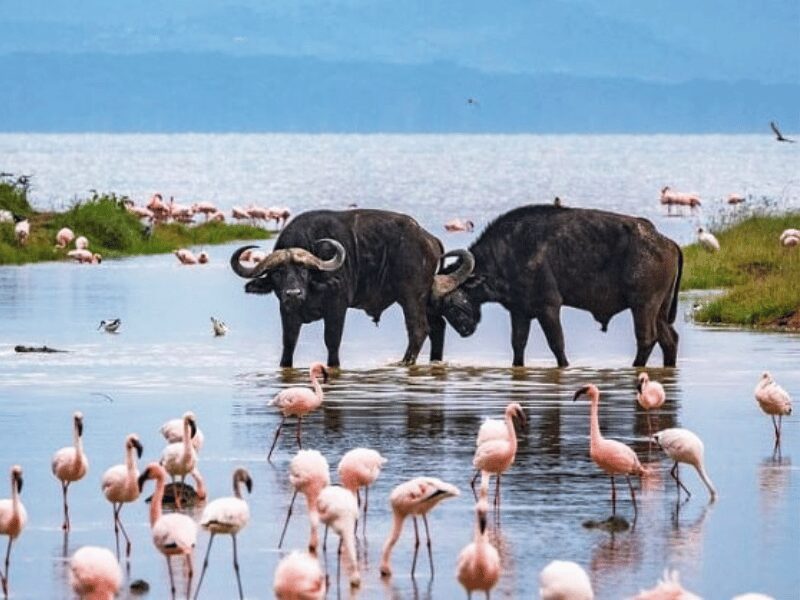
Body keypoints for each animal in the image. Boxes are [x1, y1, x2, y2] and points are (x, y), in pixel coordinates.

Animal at [231, 209, 473, 368]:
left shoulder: (337, 307)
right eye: (278, 273)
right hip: (427, 297)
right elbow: (289, 342)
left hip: (412, 296)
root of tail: (428, 238)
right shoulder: (287, 311)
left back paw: (405, 362)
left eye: (303, 271)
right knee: (437, 327)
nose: (293, 293)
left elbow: (332, 341)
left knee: (419, 329)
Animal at [432, 205, 683, 367]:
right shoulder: (519, 312)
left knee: (647, 338)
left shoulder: (548, 308)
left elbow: (557, 343)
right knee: (669, 339)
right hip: (660, 309)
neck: (508, 254)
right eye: (440, 308)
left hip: (643, 306)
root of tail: (666, 242)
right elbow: (518, 344)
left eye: (451, 303)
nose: (465, 330)